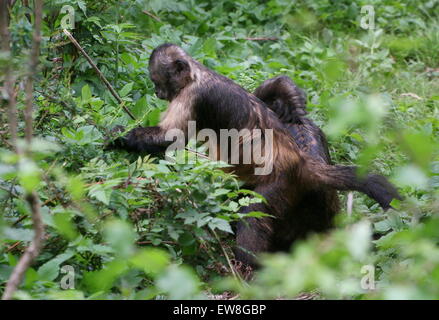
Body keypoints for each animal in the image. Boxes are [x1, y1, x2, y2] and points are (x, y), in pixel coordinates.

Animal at [107, 43, 402, 266]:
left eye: (157, 81)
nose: (157, 92)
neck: (196, 74)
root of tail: (301, 161)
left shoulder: (192, 96)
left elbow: (170, 137)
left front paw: (119, 137)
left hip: (280, 183)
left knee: (252, 212)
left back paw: (251, 266)